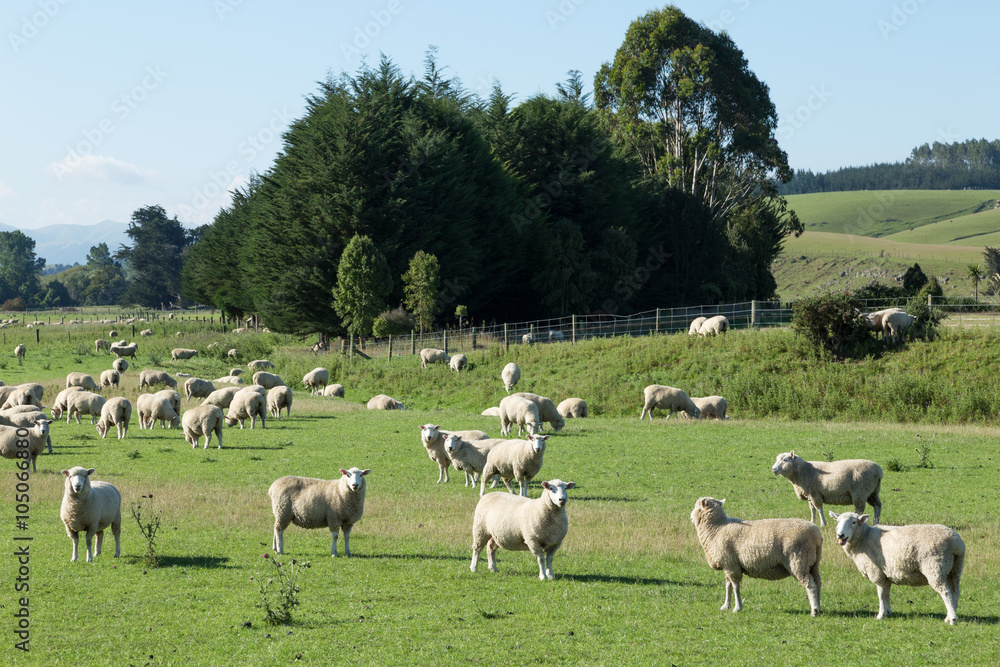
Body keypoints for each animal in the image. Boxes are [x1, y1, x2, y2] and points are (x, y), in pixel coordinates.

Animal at [692, 498, 824, 620]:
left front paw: (737, 608)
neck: (717, 529)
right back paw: (818, 607)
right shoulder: (728, 565)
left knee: (810, 584)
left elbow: (735, 587)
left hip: (798, 561)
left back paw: (814, 610)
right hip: (813, 562)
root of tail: (816, 535)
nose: (691, 517)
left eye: (695, 506)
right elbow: (728, 586)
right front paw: (726, 606)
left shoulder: (732, 566)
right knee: (817, 582)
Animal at [824, 512, 964, 628]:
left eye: (853, 522)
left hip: (935, 568)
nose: (840, 535)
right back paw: (950, 616)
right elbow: (886, 594)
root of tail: (955, 543)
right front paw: (888, 612)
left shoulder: (876, 572)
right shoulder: (885, 574)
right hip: (954, 570)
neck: (864, 538)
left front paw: (880, 615)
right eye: (838, 521)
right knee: (955, 592)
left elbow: (880, 595)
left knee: (945, 593)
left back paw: (952, 619)